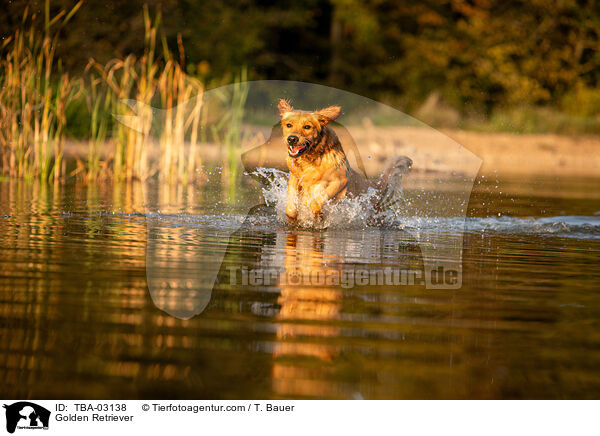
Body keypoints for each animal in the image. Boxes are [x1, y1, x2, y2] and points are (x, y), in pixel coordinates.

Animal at [278, 98, 412, 221]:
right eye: (289, 125)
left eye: (307, 127)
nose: (292, 139)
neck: (311, 160)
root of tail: (374, 185)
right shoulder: (294, 177)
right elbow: (290, 208)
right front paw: (295, 217)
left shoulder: (340, 181)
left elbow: (317, 202)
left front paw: (319, 216)